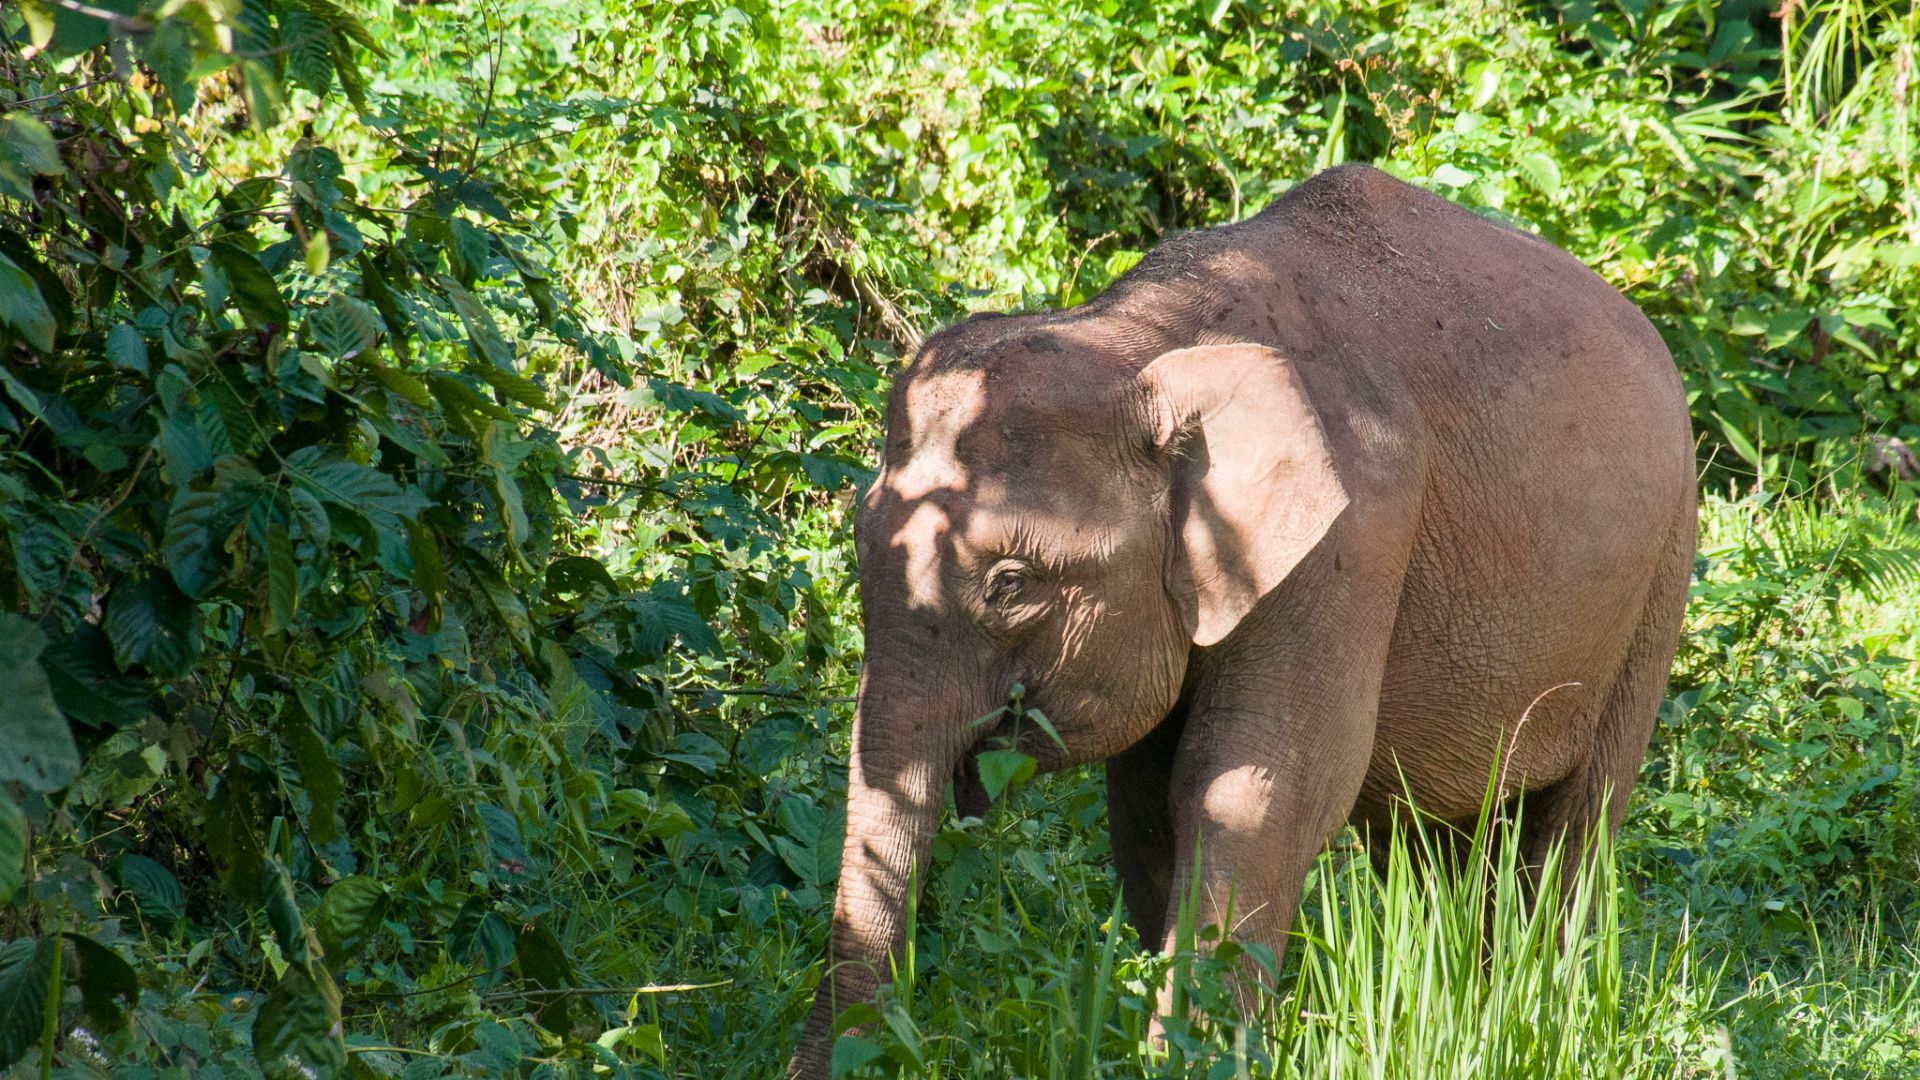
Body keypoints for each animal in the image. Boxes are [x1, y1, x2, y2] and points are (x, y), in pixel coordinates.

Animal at [786, 163, 1697, 1077]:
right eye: (858, 541)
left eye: (1011, 584)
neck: (1140, 341)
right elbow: (1146, 802)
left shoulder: (1351, 537)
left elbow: (1254, 786)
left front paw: (1186, 1058)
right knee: (1430, 838)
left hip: (1662, 576)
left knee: (1573, 823)